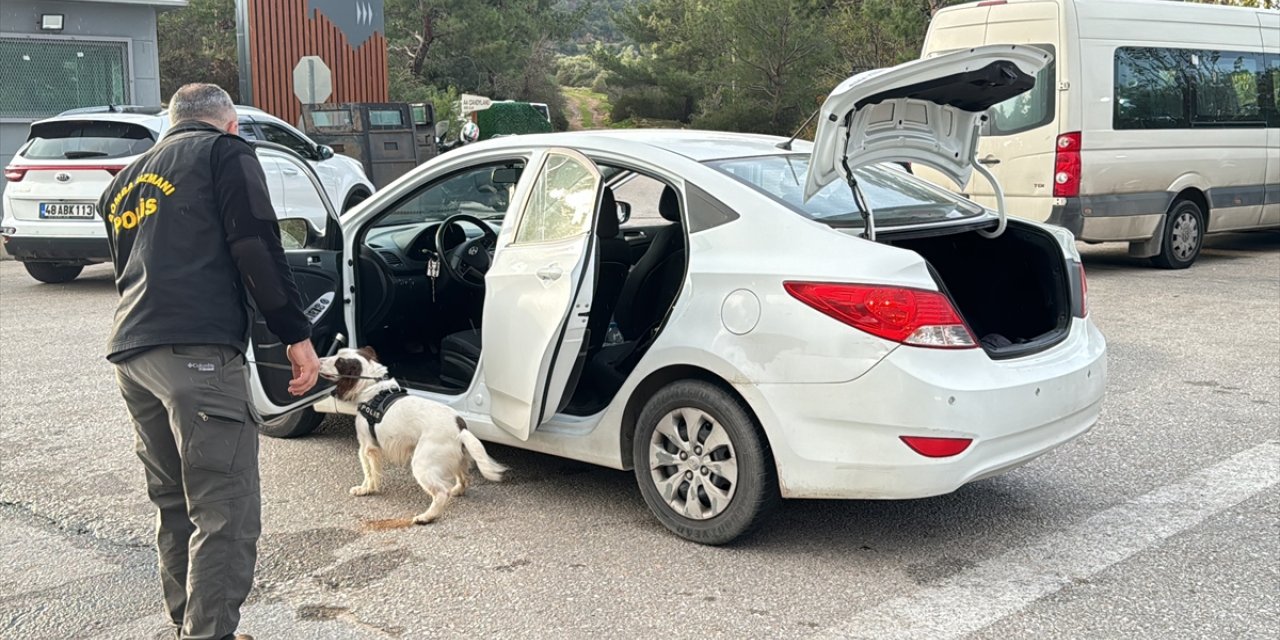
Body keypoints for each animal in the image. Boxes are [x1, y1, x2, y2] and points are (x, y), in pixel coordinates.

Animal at [317, 348, 506, 522]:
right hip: (457, 458)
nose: (318, 360)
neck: (374, 390)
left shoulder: (367, 447)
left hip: (422, 463)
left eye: (339, 362)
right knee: (463, 479)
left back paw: (426, 517)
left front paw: (365, 490)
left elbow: (369, 472)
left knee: (441, 493)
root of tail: (460, 428)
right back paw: (455, 491)